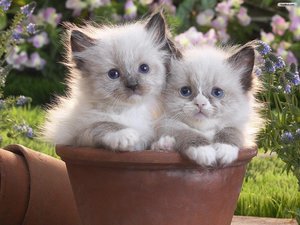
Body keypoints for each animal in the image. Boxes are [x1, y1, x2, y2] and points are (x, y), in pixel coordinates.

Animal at [42, 11, 178, 150]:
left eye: (144, 68)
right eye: (113, 74)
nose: (133, 85)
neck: (131, 110)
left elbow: (152, 144)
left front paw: (165, 144)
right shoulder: (77, 137)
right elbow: (102, 125)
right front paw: (125, 136)